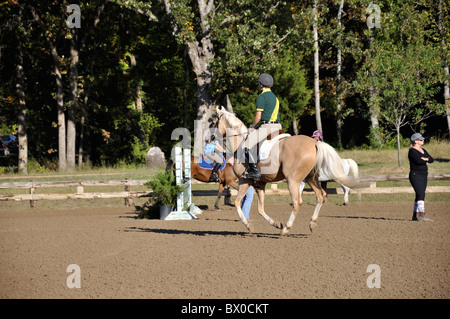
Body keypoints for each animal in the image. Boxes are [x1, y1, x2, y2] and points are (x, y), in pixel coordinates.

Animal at [214, 107, 362, 235]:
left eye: (214, 122)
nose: (211, 139)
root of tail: (314, 143)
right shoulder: (260, 184)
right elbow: (260, 209)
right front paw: (275, 223)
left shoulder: (244, 180)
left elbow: (238, 203)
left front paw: (248, 225)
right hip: (310, 177)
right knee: (321, 195)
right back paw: (311, 223)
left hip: (293, 180)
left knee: (298, 202)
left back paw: (286, 228)